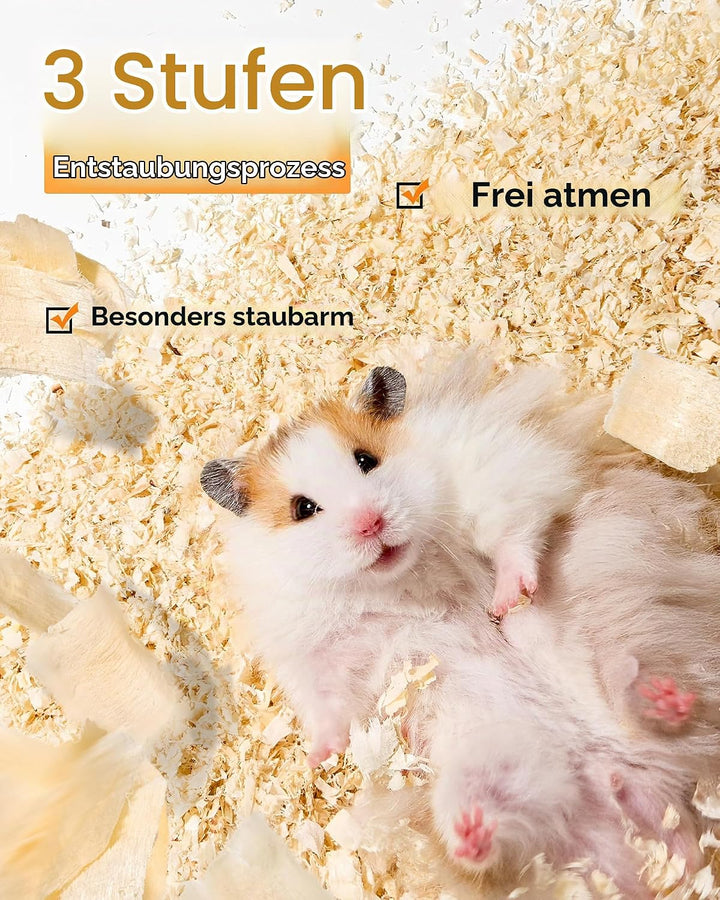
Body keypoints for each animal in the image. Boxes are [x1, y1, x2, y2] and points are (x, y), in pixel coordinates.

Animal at [201, 359, 720, 896]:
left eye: (366, 460)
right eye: (303, 509)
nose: (371, 523)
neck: (405, 579)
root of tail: (636, 794)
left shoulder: (497, 477)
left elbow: (511, 538)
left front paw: (507, 601)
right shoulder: (317, 651)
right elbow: (328, 704)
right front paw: (318, 757)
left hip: (622, 639)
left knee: (644, 696)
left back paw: (665, 701)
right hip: (494, 761)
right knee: (495, 827)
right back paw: (472, 832)